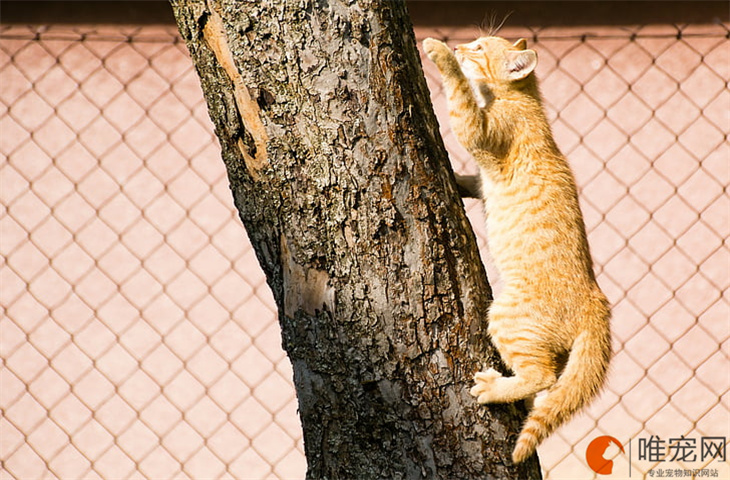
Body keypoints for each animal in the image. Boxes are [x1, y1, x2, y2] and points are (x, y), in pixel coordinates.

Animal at [420, 35, 608, 464]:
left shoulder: (478, 131)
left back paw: (492, 389)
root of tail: (596, 301)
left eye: (478, 48)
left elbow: (460, 97)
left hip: (507, 317)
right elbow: (472, 180)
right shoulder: (481, 174)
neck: (526, 100)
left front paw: (439, 52)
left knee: (542, 376)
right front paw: (453, 177)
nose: (460, 45)